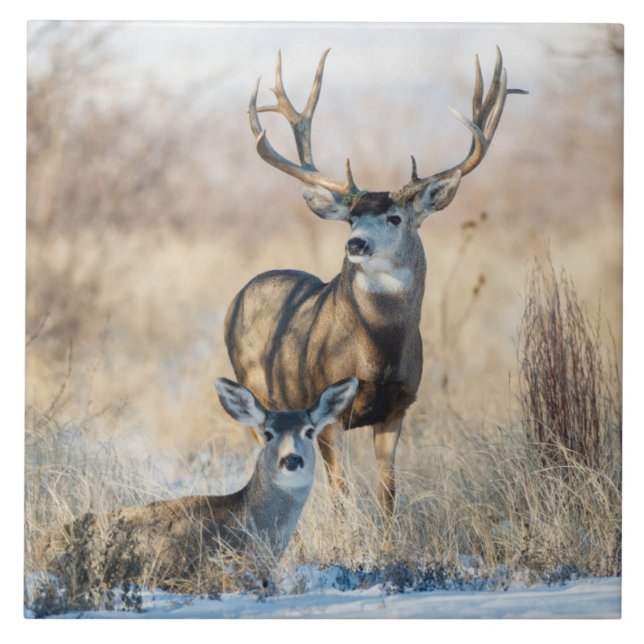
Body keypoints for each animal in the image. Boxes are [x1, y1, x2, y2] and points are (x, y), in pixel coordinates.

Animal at [225, 47, 526, 516]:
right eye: (351, 217)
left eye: (395, 217)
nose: (356, 243)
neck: (377, 352)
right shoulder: (326, 410)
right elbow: (342, 494)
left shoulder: (398, 407)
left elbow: (388, 492)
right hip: (257, 391)